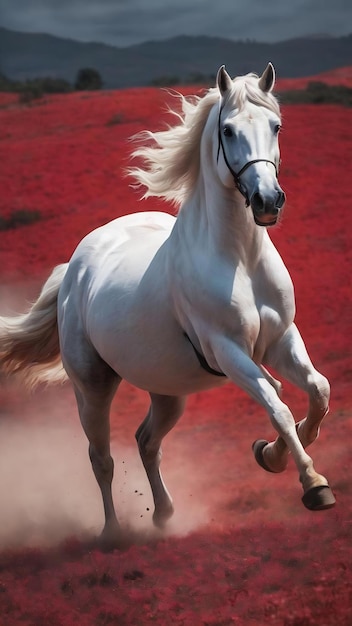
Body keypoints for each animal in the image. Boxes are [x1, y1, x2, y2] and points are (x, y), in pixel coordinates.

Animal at [0, 61, 336, 544]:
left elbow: (318, 391)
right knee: (101, 457)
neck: (239, 259)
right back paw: (112, 532)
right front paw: (312, 484)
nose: (268, 201)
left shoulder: (282, 340)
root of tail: (75, 267)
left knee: (147, 441)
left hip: (167, 390)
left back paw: (163, 514)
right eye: (229, 131)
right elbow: (278, 404)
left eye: (276, 126)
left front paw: (268, 455)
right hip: (93, 386)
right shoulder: (227, 351)